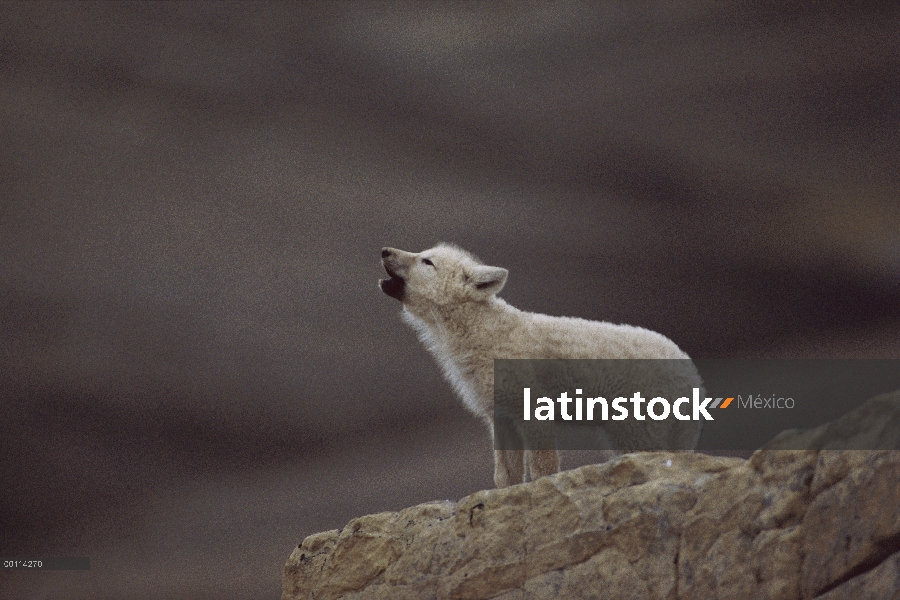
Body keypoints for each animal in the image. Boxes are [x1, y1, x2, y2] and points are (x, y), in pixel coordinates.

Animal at [380, 244, 704, 488]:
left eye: (427, 261)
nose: (384, 250)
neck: (487, 333)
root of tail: (691, 373)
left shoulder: (533, 412)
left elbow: (541, 468)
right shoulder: (500, 417)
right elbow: (505, 475)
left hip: (636, 432)